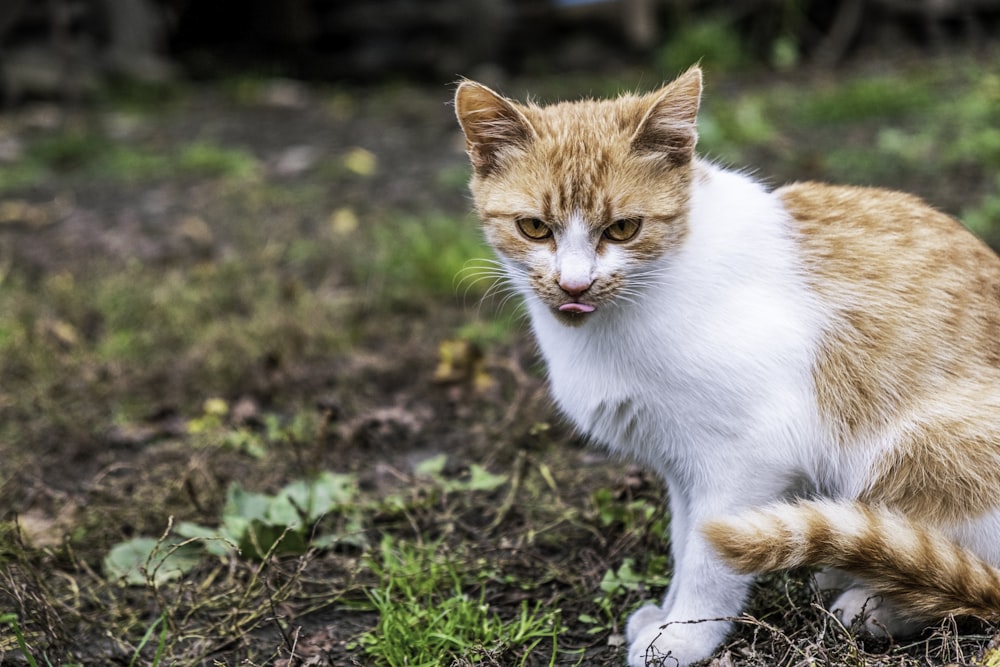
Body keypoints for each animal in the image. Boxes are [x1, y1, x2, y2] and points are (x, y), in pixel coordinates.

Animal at [454, 64, 1000, 667]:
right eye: (533, 227)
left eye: (623, 229)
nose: (574, 286)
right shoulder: (679, 462)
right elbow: (682, 540)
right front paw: (666, 616)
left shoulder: (748, 455)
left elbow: (708, 556)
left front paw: (682, 637)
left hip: (922, 447)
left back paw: (878, 603)